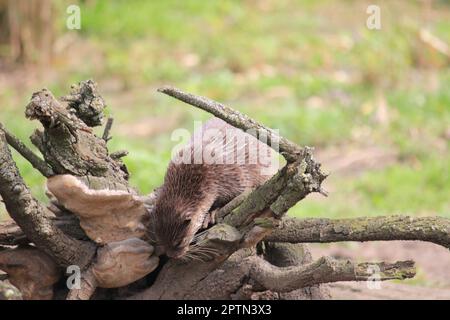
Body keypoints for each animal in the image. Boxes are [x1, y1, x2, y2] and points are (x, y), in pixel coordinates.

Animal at [150, 117, 278, 260]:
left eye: (179, 242)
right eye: (160, 241)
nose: (174, 256)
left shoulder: (231, 178)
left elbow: (239, 194)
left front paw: (211, 213)